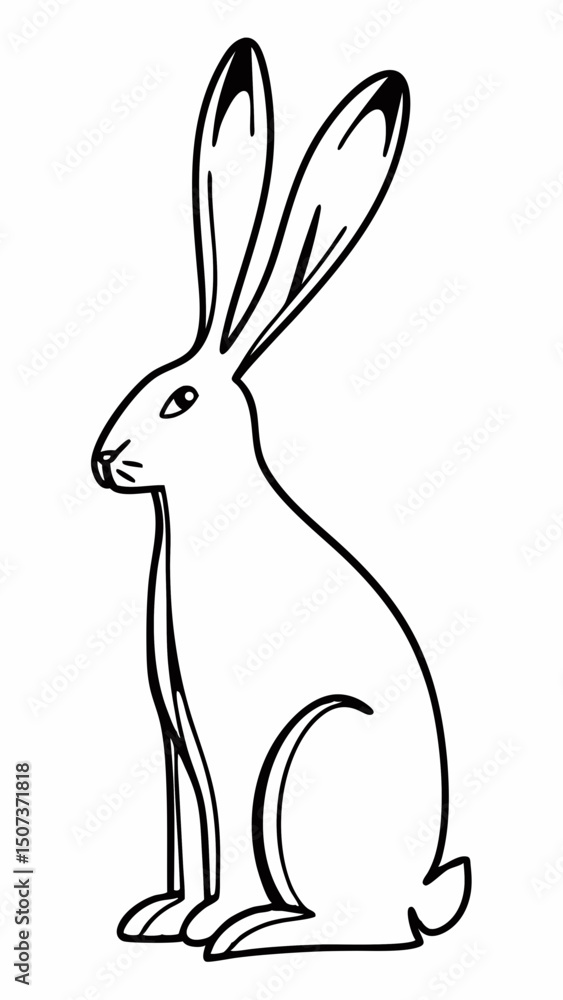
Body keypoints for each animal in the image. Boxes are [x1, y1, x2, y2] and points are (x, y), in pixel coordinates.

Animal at [91, 38, 470, 961]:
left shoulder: (231, 736)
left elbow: (224, 831)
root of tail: (420, 896)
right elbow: (188, 832)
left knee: (358, 928)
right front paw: (160, 918)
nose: (105, 460)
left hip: (310, 756)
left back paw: (252, 930)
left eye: (178, 400)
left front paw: (206, 922)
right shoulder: (175, 736)